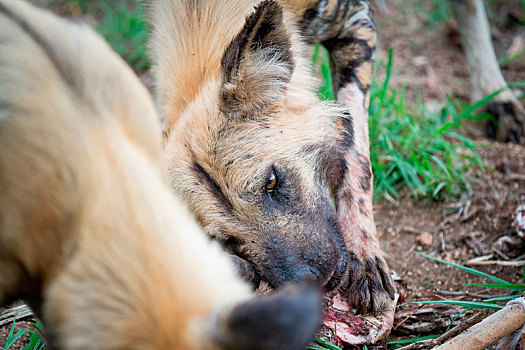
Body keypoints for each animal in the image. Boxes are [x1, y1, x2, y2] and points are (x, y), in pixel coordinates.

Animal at [149, 0, 396, 312]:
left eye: (271, 181)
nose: (307, 282)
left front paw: (363, 254)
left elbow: (356, 153)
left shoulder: (356, 23)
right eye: (224, 239)